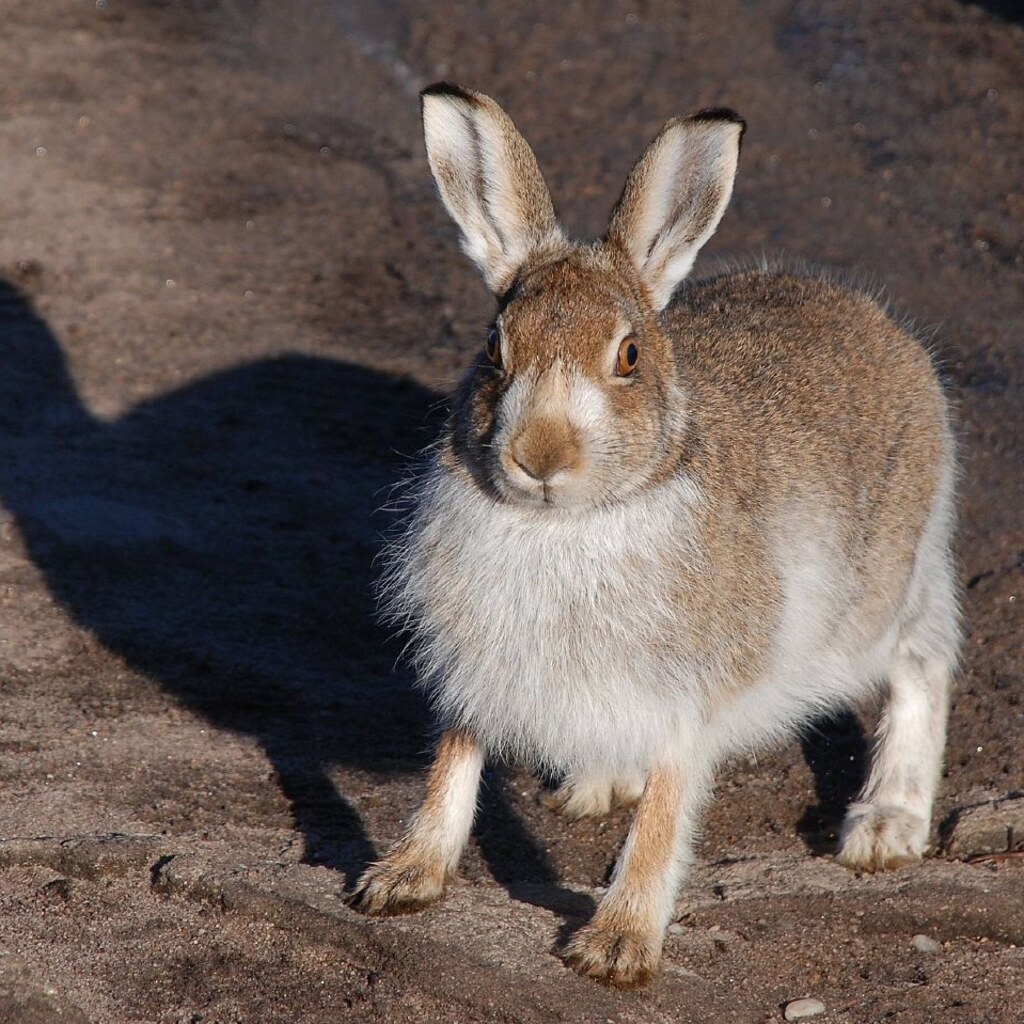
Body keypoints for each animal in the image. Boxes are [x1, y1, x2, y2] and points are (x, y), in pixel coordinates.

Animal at [352, 82, 960, 988]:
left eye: (630, 355)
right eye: (494, 350)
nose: (541, 455)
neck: (566, 524)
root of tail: (886, 330)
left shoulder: (691, 692)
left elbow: (669, 812)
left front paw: (617, 945)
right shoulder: (476, 667)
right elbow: (452, 764)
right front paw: (404, 879)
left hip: (883, 590)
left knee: (923, 663)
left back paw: (886, 827)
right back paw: (595, 784)